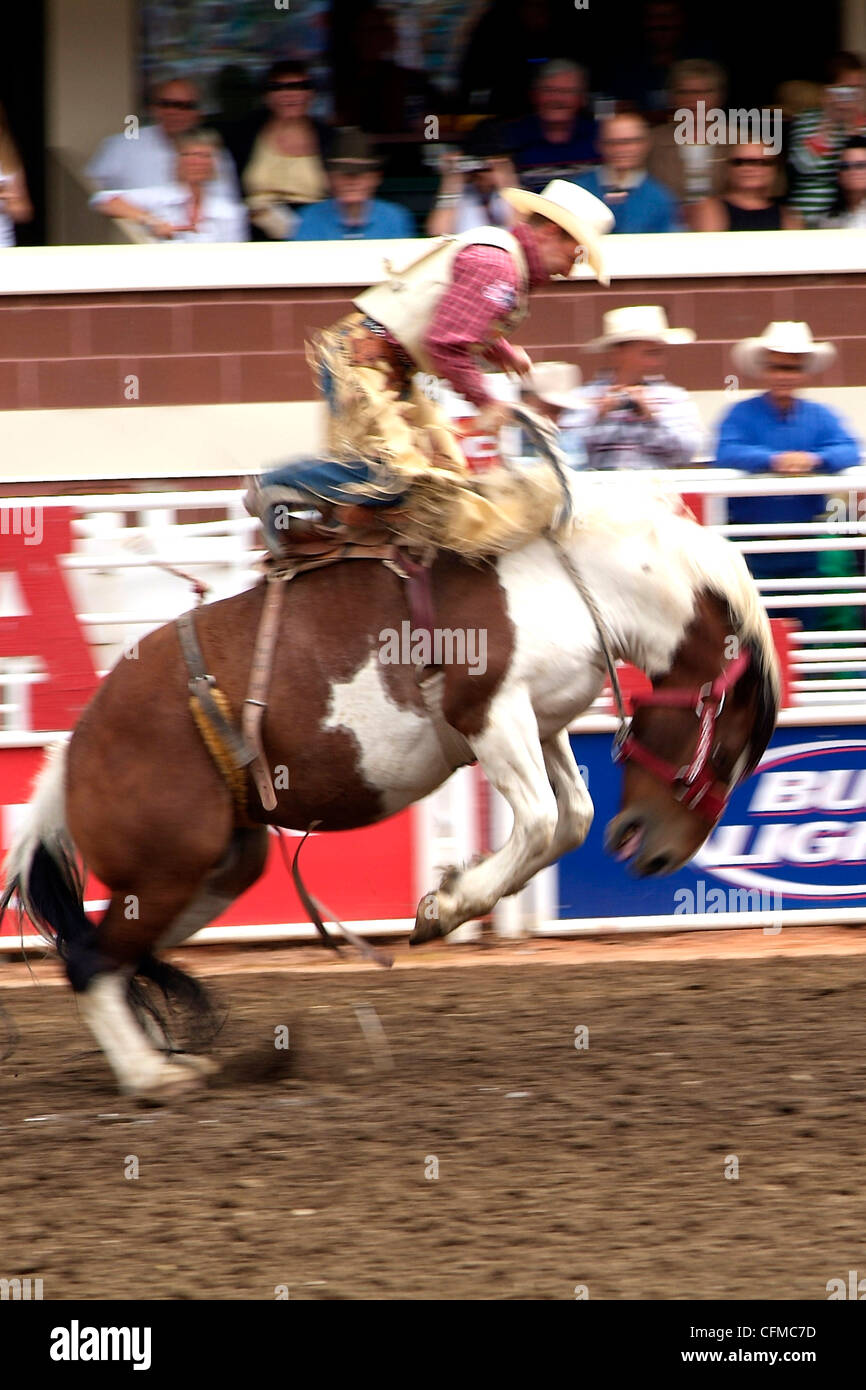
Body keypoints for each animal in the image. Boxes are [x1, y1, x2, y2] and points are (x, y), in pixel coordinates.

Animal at [0, 478, 783, 1095]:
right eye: (729, 749)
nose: (659, 855)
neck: (565, 581)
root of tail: (72, 752)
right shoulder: (491, 714)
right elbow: (538, 820)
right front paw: (443, 907)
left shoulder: (541, 721)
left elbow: (571, 816)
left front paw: (454, 894)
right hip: (165, 870)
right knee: (90, 961)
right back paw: (151, 1078)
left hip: (213, 869)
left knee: (111, 955)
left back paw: (166, 1060)